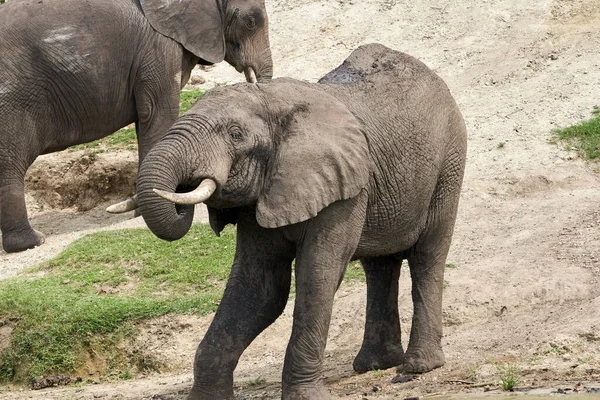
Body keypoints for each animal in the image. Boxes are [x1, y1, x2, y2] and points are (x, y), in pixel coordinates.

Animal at [1, 0, 274, 252]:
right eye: (251, 22)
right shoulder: (157, 50)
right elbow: (157, 116)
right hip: (13, 104)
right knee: (10, 165)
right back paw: (33, 241)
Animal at [126, 42, 466, 398]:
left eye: (235, 134)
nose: (185, 184)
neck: (270, 101)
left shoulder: (344, 190)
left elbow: (316, 277)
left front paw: (306, 395)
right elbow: (258, 288)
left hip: (449, 160)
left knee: (427, 255)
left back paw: (417, 367)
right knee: (379, 265)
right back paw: (375, 365)